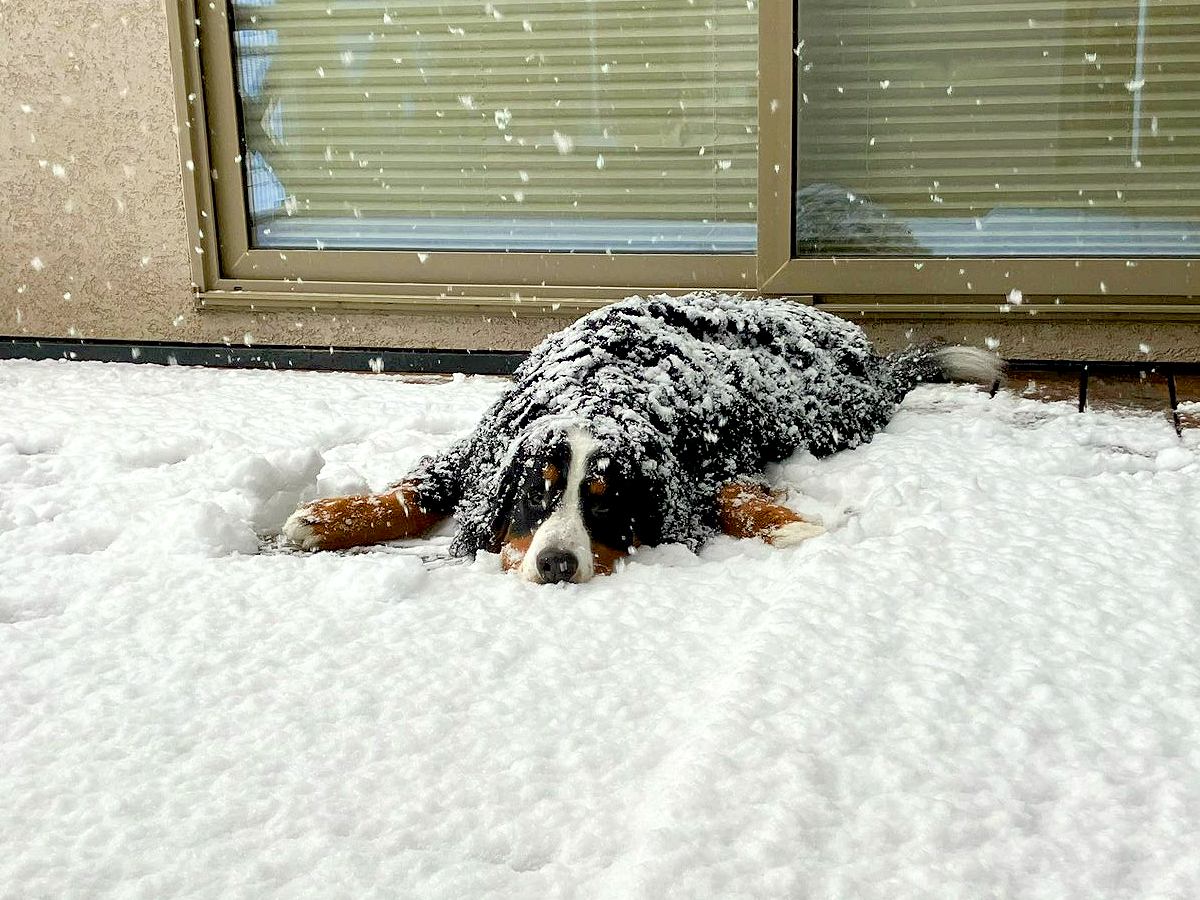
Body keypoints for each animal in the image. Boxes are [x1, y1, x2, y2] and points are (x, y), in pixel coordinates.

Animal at [283, 294, 1003, 585]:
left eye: (607, 502)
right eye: (537, 495)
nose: (557, 564)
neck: (596, 383)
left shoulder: (705, 459)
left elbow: (729, 497)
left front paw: (794, 523)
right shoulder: (482, 444)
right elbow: (418, 489)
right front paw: (326, 517)